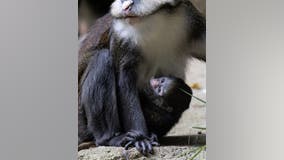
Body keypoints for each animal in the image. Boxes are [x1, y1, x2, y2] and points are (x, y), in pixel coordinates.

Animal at [79, 0, 205, 155]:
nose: (126, 7)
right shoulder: (122, 34)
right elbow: (125, 82)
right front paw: (140, 139)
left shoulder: (190, 19)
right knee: (102, 59)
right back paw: (108, 139)